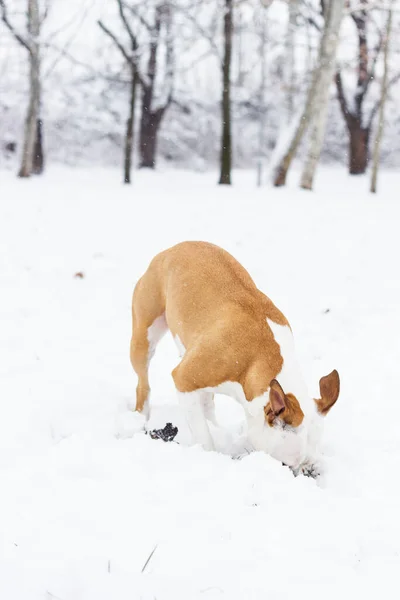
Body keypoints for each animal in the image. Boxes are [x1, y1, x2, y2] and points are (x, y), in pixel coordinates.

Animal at [131, 240, 340, 474]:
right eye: (285, 464)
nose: (306, 473)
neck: (260, 359)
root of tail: (175, 247)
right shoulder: (184, 380)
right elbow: (204, 436)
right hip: (144, 337)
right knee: (143, 384)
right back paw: (141, 415)